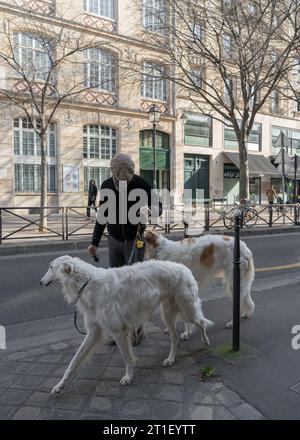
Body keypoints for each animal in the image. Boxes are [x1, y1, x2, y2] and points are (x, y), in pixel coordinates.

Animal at [40, 254, 213, 396]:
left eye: (50, 267)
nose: (40, 282)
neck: (88, 283)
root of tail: (184, 267)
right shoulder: (94, 332)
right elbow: (73, 362)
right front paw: (59, 386)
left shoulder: (118, 331)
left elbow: (126, 357)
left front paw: (128, 377)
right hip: (168, 313)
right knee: (175, 337)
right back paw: (170, 359)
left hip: (186, 308)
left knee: (201, 323)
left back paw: (205, 342)